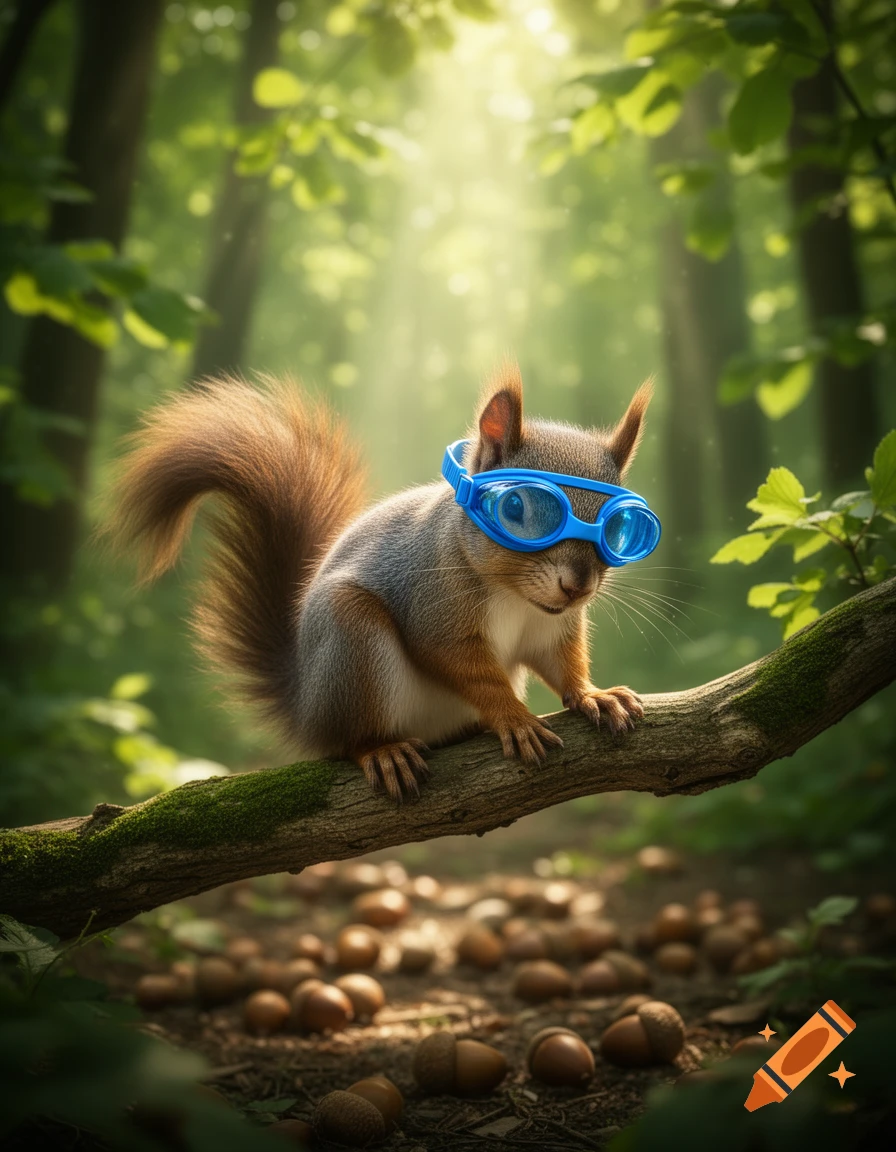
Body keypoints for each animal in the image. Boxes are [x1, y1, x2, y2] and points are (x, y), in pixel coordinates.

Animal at [107, 362, 652, 801]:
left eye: (623, 529)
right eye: (514, 507)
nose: (578, 586)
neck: (517, 598)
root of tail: (307, 707)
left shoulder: (554, 628)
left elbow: (563, 664)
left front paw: (594, 695)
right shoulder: (434, 611)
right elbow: (466, 667)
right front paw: (515, 718)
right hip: (351, 644)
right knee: (350, 739)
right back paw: (382, 751)